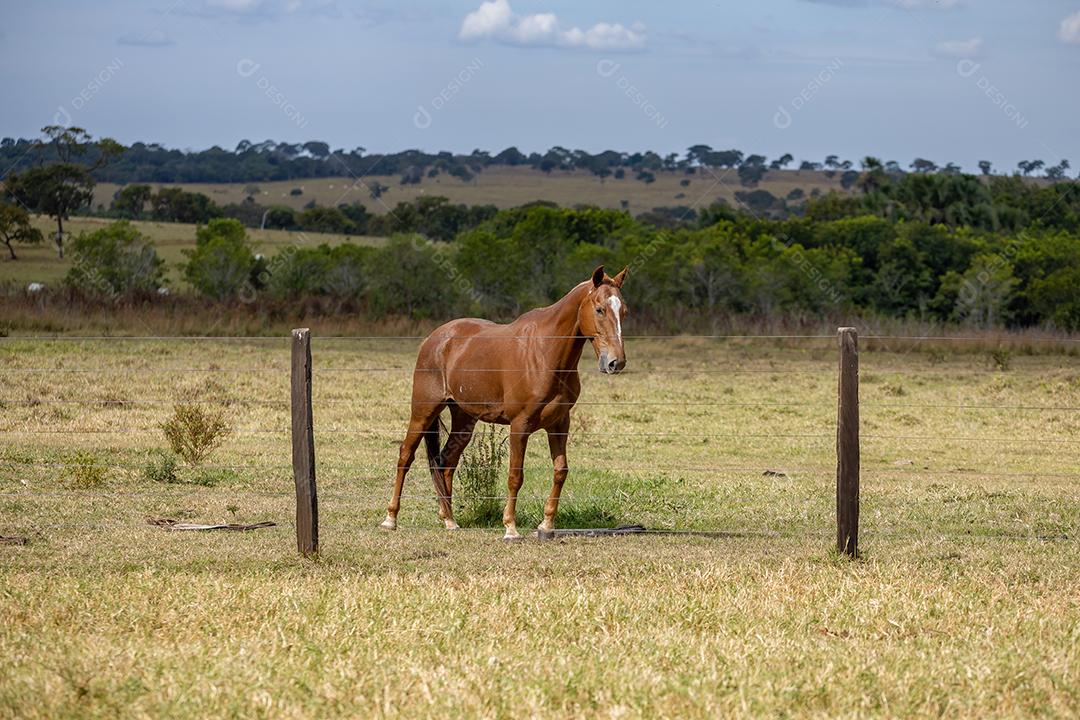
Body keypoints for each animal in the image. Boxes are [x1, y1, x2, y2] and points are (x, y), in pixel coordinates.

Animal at [382, 266, 630, 539]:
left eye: (624, 311)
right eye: (600, 309)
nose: (616, 362)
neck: (545, 353)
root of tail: (435, 340)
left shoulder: (559, 424)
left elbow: (560, 471)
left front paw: (546, 525)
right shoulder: (520, 425)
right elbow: (515, 475)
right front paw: (510, 527)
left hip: (464, 419)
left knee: (446, 461)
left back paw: (449, 519)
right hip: (423, 412)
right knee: (406, 456)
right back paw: (391, 518)